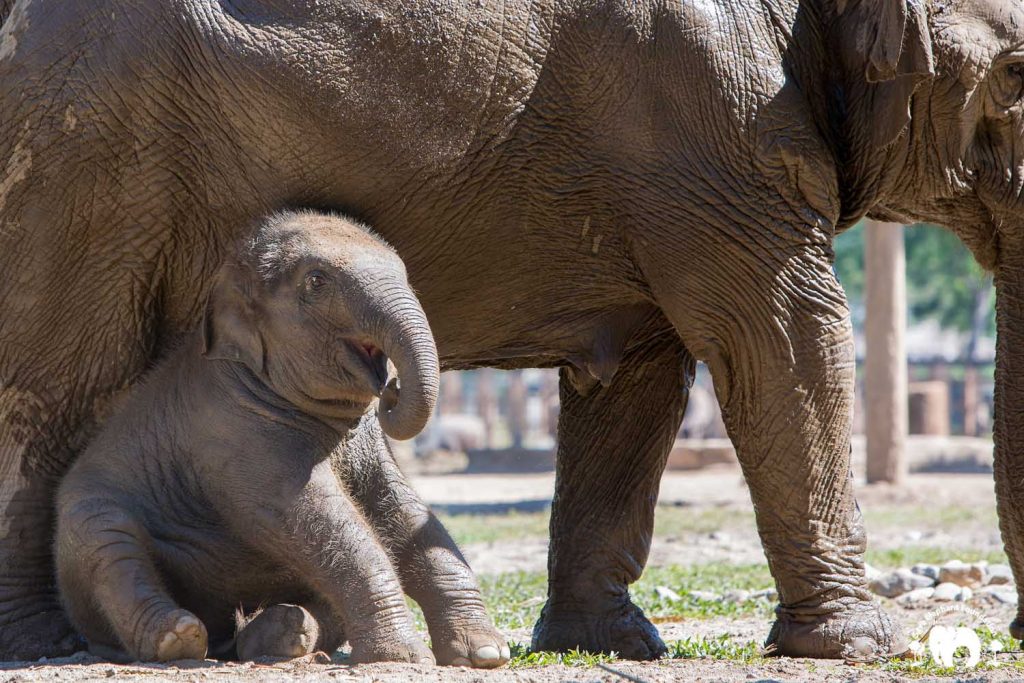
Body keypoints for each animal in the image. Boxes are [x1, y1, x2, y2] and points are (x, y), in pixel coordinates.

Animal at [54, 211, 507, 666]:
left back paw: (285, 632)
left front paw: (484, 654)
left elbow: (401, 510)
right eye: (316, 281)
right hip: (83, 525)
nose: (392, 389)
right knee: (109, 544)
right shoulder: (235, 432)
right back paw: (177, 637)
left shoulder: (366, 445)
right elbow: (317, 519)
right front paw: (403, 658)